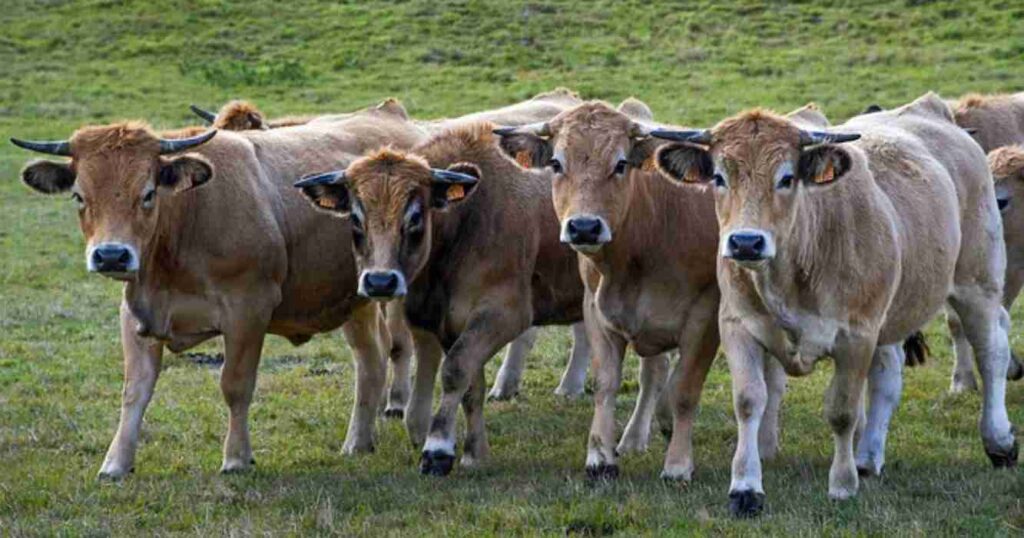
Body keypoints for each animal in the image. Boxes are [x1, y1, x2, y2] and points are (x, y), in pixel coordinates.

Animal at [9, 100, 423, 477]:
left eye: (148, 193)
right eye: (79, 196)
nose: (111, 255)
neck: (186, 221)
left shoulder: (248, 310)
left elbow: (235, 384)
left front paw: (237, 458)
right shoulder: (136, 313)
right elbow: (134, 391)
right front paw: (116, 463)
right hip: (357, 303)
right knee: (371, 360)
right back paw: (358, 442)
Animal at [651, 92, 1019, 516]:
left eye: (787, 178)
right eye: (719, 177)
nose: (746, 242)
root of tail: (932, 111)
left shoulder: (856, 336)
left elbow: (842, 411)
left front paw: (842, 484)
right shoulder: (738, 326)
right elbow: (748, 401)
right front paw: (745, 487)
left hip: (978, 282)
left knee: (991, 351)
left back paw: (999, 441)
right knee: (888, 376)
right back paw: (868, 457)